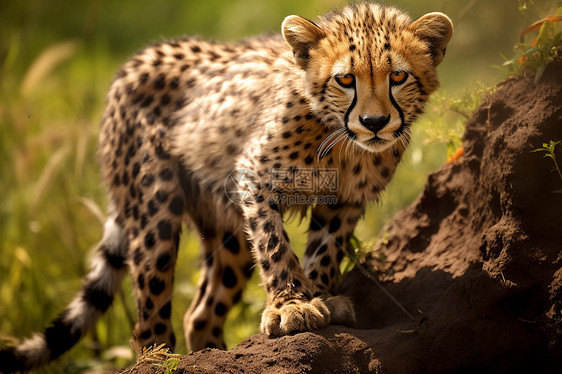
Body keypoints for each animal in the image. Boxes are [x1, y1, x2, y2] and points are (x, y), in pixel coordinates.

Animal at [1, 2, 450, 372]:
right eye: (345, 79)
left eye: (398, 76)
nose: (374, 123)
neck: (340, 139)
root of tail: (139, 57)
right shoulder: (254, 175)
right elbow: (274, 246)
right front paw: (292, 305)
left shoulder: (346, 200)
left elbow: (326, 248)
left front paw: (321, 296)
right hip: (155, 212)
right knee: (151, 315)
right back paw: (165, 359)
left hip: (226, 232)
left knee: (199, 314)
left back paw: (214, 354)